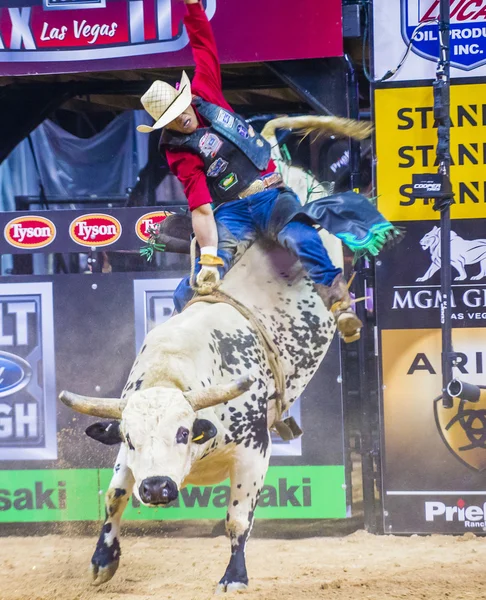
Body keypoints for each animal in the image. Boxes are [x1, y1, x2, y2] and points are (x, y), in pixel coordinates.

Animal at [59, 116, 380, 592]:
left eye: (181, 432)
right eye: (131, 437)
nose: (156, 489)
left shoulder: (254, 452)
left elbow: (237, 520)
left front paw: (234, 576)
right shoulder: (127, 450)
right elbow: (114, 494)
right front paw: (103, 558)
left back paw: (344, 303)